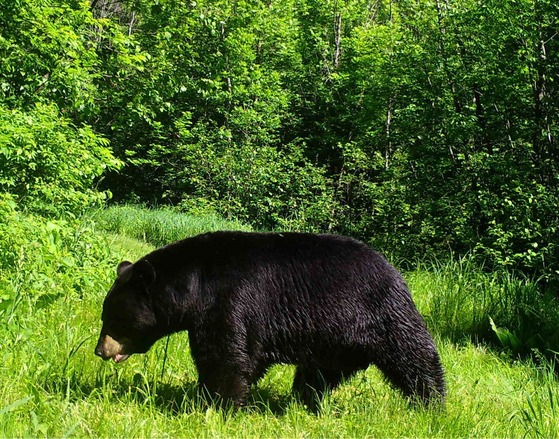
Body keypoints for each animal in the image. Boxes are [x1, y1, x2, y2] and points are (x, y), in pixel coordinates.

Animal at [95, 232, 446, 410]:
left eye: (112, 318)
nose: (100, 350)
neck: (196, 283)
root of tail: (396, 272)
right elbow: (242, 358)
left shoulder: (231, 300)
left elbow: (226, 357)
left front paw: (216, 404)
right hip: (335, 342)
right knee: (317, 375)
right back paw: (303, 402)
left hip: (382, 314)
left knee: (414, 357)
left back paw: (431, 406)